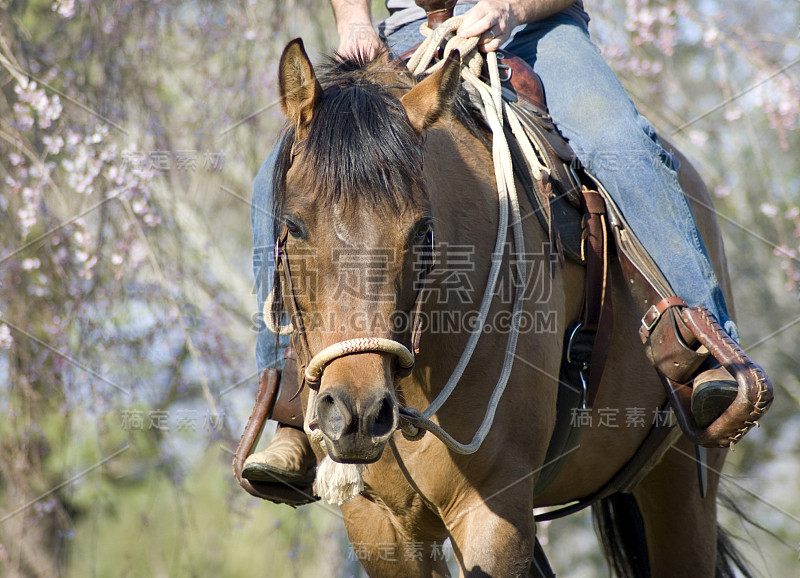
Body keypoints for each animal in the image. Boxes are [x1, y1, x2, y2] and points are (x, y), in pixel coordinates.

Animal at [270, 38, 752, 572]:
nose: (357, 412)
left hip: (682, 492)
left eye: (423, 231)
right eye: (292, 225)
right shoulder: (378, 527)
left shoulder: (495, 511)